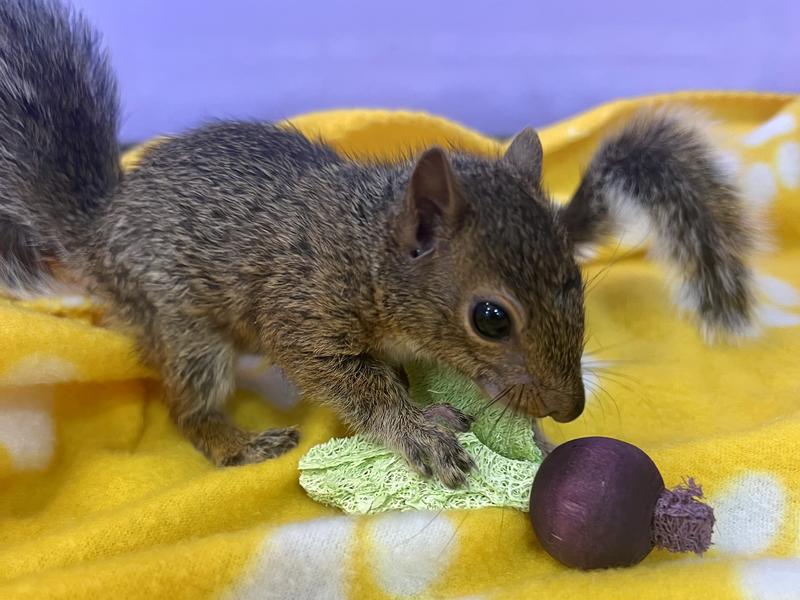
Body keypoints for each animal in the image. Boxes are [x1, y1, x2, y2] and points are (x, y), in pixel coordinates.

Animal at [0, 0, 757, 487]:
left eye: (573, 277)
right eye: (491, 319)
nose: (569, 407)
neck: (365, 248)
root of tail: (98, 229)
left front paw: (530, 434)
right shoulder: (304, 311)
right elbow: (351, 381)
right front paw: (418, 431)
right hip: (183, 327)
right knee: (188, 408)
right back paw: (237, 441)